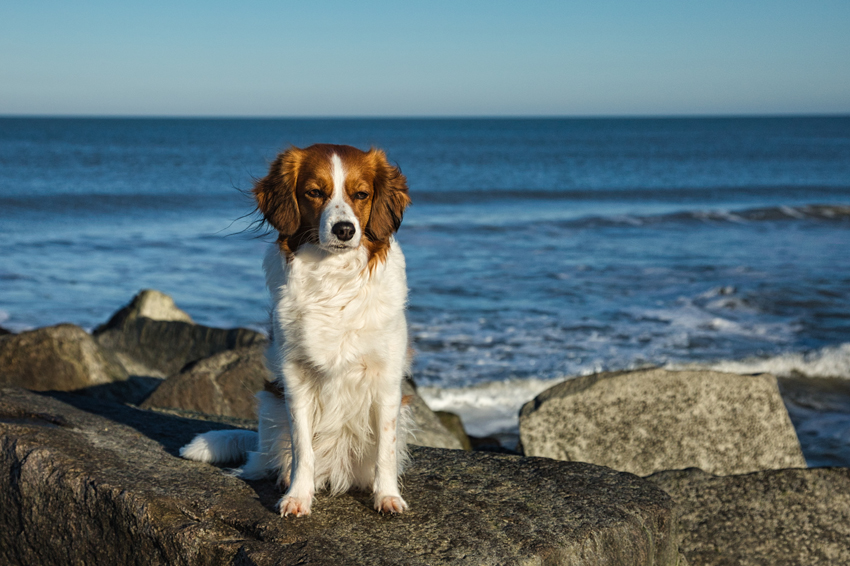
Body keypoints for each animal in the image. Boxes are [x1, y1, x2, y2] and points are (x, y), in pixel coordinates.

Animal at [181, 144, 412, 516]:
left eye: (361, 194)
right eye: (314, 192)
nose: (344, 230)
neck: (334, 278)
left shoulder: (387, 379)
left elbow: (385, 450)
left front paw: (387, 495)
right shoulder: (296, 379)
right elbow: (303, 447)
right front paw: (298, 495)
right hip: (270, 403)